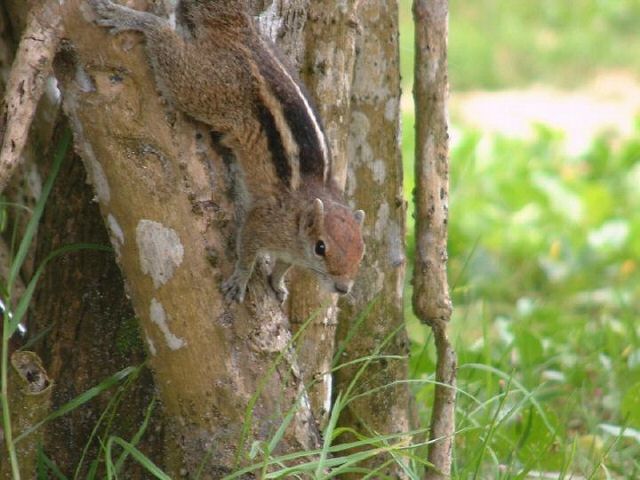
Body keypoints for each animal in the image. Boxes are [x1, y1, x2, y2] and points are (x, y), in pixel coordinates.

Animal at [88, 0, 364, 304]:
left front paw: (278, 283)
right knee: (170, 52)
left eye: (361, 252)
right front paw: (241, 280)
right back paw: (137, 20)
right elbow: (248, 251)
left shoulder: (290, 252)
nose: (343, 288)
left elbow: (283, 265)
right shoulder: (263, 222)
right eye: (321, 247)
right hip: (210, 89)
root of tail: (241, 31)